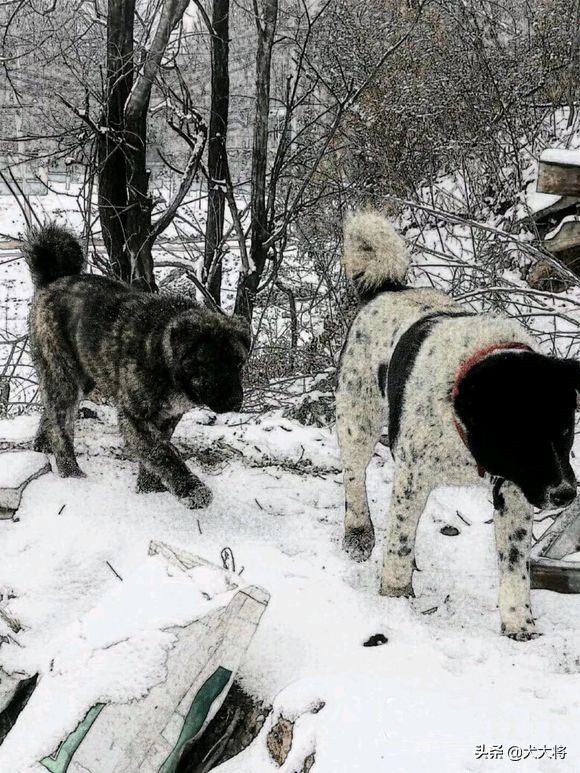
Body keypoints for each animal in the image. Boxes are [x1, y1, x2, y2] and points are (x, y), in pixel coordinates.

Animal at [24, 223, 249, 506]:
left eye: (238, 362)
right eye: (209, 363)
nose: (235, 401)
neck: (161, 353)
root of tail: (52, 279)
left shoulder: (167, 417)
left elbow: (155, 457)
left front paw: (148, 491)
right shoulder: (135, 418)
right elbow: (162, 453)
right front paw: (191, 489)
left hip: (82, 379)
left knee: (50, 414)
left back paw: (41, 446)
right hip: (63, 375)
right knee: (62, 428)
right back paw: (72, 475)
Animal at [336, 210, 580, 640]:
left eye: (566, 430)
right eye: (524, 438)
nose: (566, 494)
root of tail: (387, 288)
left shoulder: (514, 490)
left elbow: (515, 563)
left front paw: (518, 622)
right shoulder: (412, 478)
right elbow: (400, 541)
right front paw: (395, 595)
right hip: (358, 418)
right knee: (353, 476)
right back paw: (358, 531)